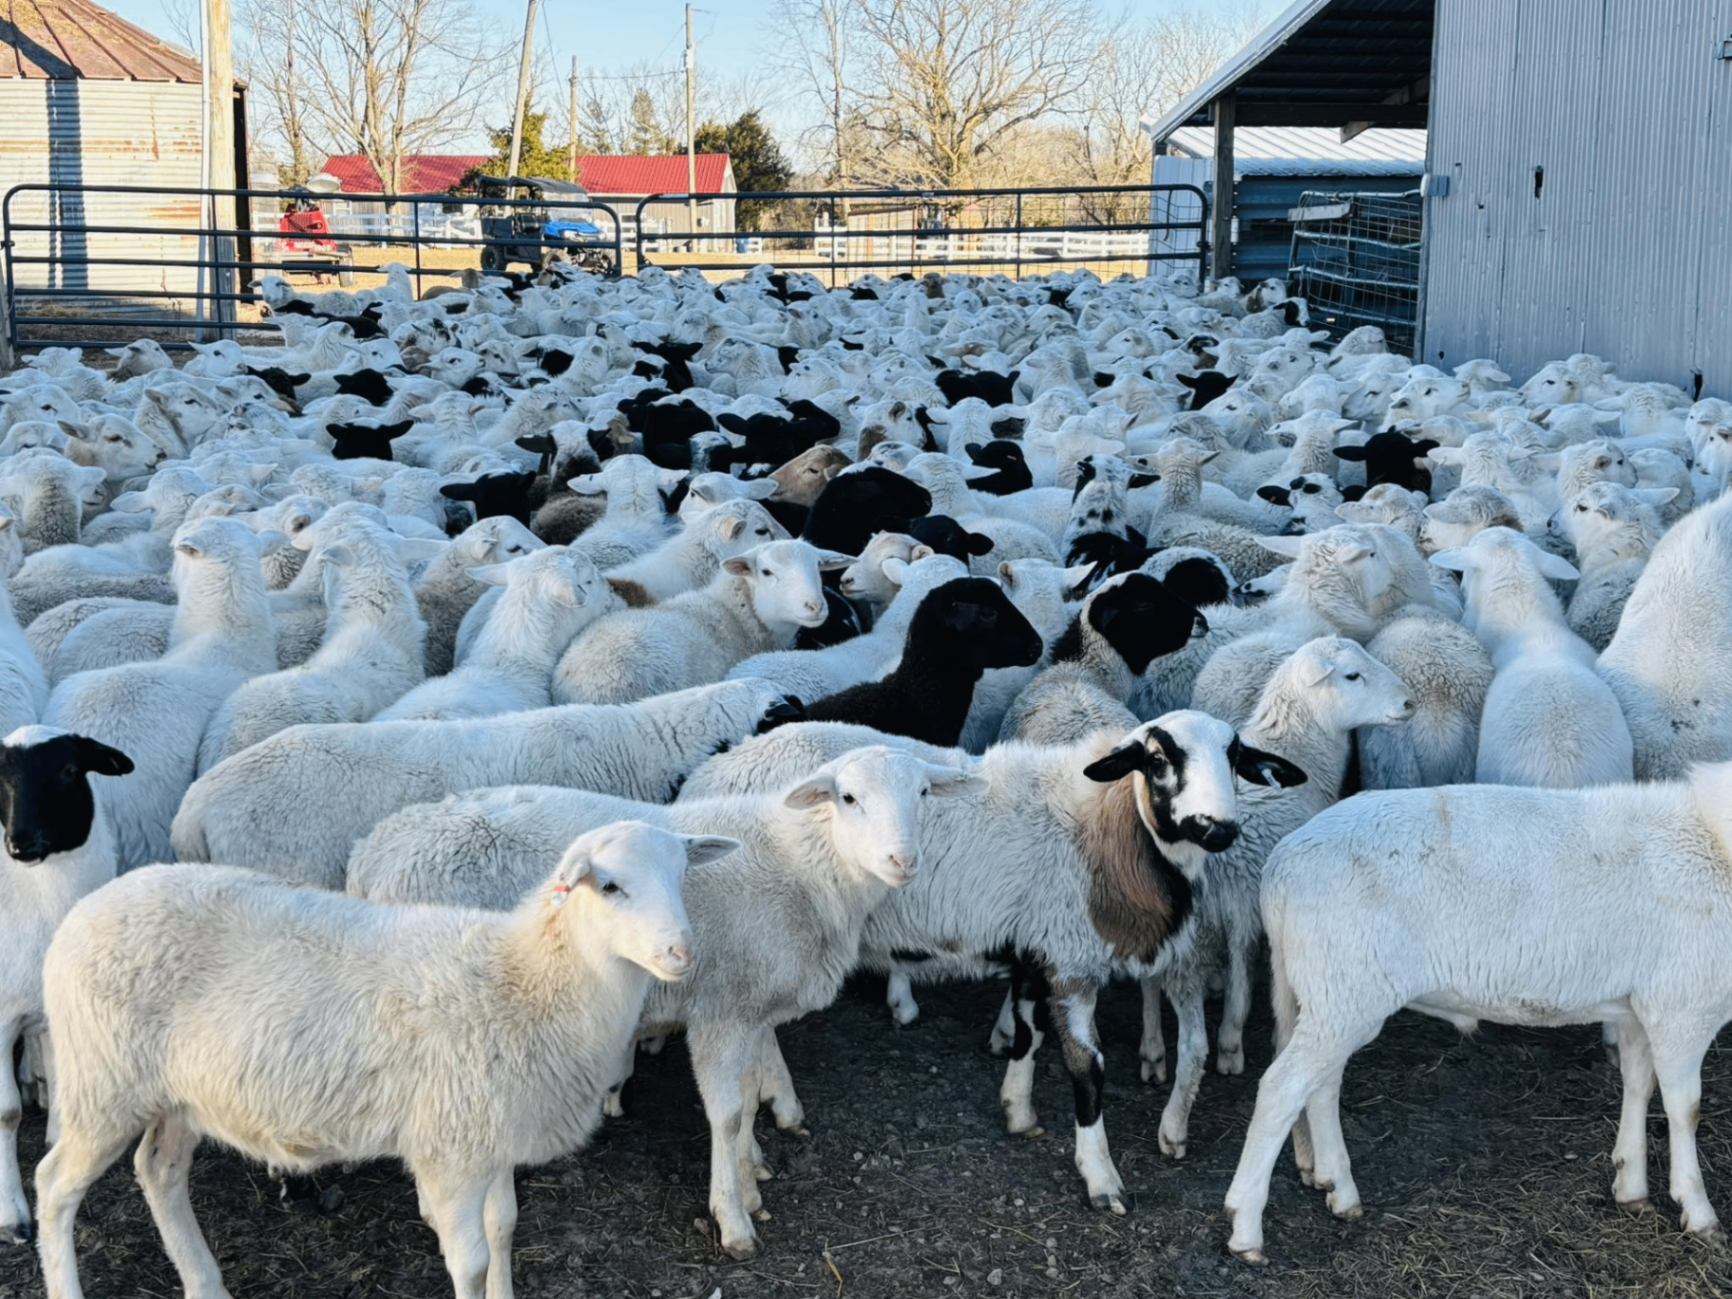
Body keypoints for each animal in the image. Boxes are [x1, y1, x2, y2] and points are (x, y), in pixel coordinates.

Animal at [0, 726, 133, 1245]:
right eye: (0, 775)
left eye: (70, 770)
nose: (20, 843)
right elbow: (6, 1113)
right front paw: (12, 1217)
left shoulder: (54, 1010)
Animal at [34, 822, 730, 1299]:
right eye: (609, 886)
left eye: (682, 876)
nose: (682, 953)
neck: (528, 981)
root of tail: (86, 909)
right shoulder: (450, 1148)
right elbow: (471, 1260)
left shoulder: (491, 1134)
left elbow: (505, 1227)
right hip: (102, 1081)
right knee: (54, 1185)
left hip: (178, 1093)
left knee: (158, 1170)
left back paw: (206, 1284)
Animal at [346, 747, 981, 1258]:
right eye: (848, 797)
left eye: (923, 793)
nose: (903, 860)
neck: (805, 866)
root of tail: (370, 852)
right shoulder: (721, 1010)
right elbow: (727, 1113)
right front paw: (734, 1218)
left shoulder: (746, 1000)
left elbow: (749, 1094)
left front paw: (751, 1173)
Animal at [1222, 764, 1732, 1262]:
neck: (1713, 841)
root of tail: (1283, 863)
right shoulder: (1686, 1006)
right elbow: (1686, 1109)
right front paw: (1699, 1212)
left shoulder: (1643, 1007)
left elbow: (1638, 1087)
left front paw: (1631, 1186)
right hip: (1345, 987)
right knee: (1281, 1089)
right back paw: (1246, 1227)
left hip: (1334, 994)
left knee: (1322, 1086)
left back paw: (1339, 1190)